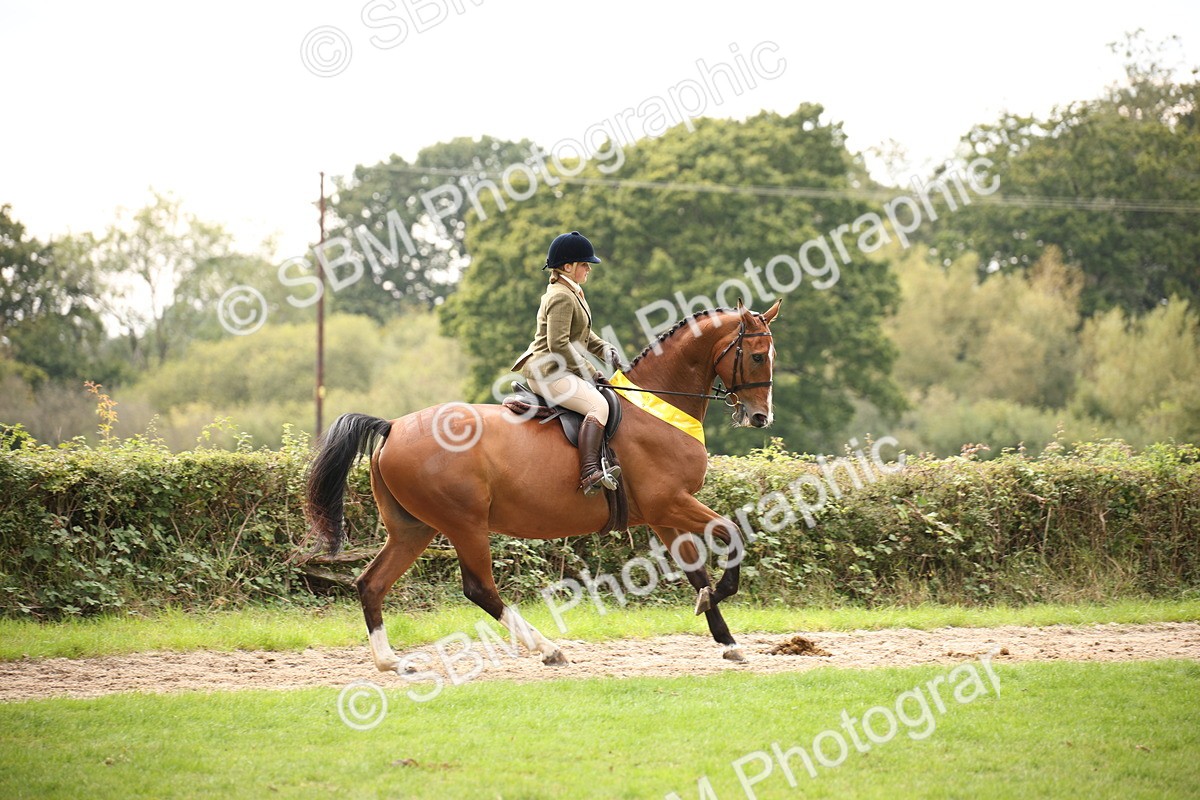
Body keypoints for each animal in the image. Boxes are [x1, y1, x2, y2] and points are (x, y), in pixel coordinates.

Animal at [304, 298, 781, 671]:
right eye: (758, 356)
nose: (761, 417)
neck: (659, 404)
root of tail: (392, 426)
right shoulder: (671, 503)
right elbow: (732, 535)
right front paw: (717, 601)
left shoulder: (663, 513)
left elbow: (695, 567)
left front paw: (727, 641)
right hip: (464, 523)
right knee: (479, 588)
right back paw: (548, 648)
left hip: (412, 528)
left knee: (371, 583)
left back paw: (389, 662)